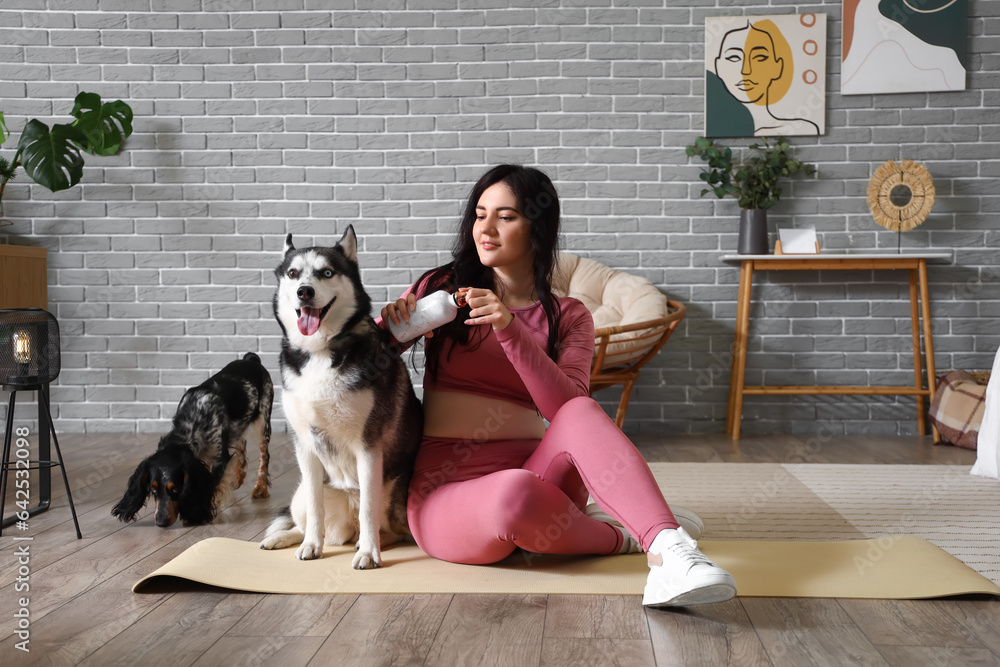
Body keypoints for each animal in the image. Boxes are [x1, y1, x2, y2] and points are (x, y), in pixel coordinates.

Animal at [112, 352, 274, 528]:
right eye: (153, 488)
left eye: (175, 489)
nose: (161, 522)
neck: (192, 422)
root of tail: (250, 359)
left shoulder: (219, 458)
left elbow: (211, 485)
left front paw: (198, 513)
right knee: (241, 444)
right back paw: (239, 477)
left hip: (263, 420)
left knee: (264, 455)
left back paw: (261, 488)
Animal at [260, 226, 420, 568]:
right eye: (293, 273)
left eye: (327, 272)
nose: (304, 292)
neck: (320, 350)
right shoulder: (304, 444)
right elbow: (315, 509)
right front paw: (311, 545)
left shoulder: (369, 445)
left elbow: (369, 507)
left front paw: (369, 553)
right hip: (300, 494)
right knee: (308, 516)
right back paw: (286, 537)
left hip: (396, 502)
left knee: (385, 528)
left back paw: (368, 542)